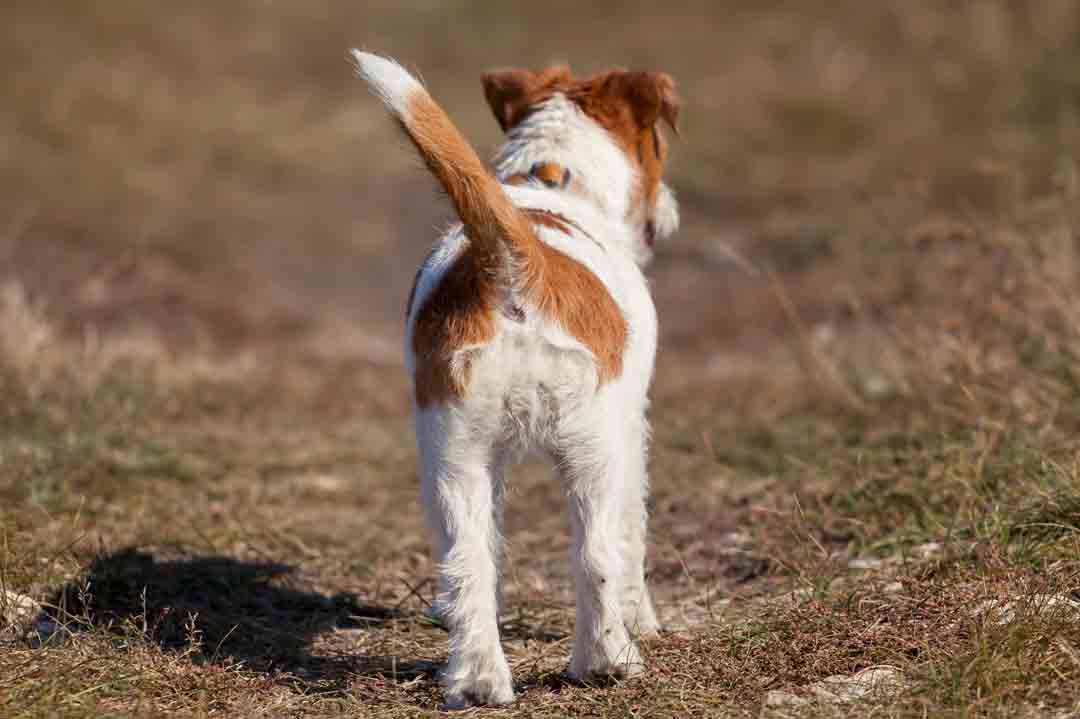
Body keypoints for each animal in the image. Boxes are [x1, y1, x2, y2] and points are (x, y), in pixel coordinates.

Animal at [349, 50, 678, 703]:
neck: (549, 178)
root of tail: (513, 261)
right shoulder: (633, 426)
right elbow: (633, 534)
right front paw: (645, 621)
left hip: (453, 454)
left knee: (469, 563)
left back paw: (478, 680)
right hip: (595, 448)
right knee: (597, 554)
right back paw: (609, 662)